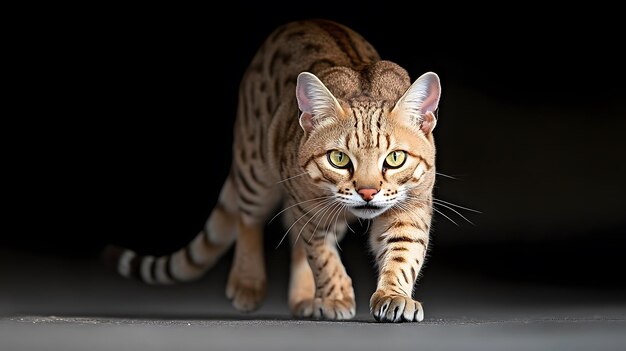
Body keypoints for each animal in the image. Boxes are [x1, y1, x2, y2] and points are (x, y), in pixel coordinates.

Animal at [105, 18, 438, 322]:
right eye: (339, 159)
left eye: (395, 158)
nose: (368, 192)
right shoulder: (308, 206)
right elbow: (322, 255)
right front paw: (335, 296)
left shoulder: (412, 206)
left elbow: (402, 252)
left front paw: (393, 296)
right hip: (255, 166)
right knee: (249, 219)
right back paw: (247, 282)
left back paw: (303, 298)